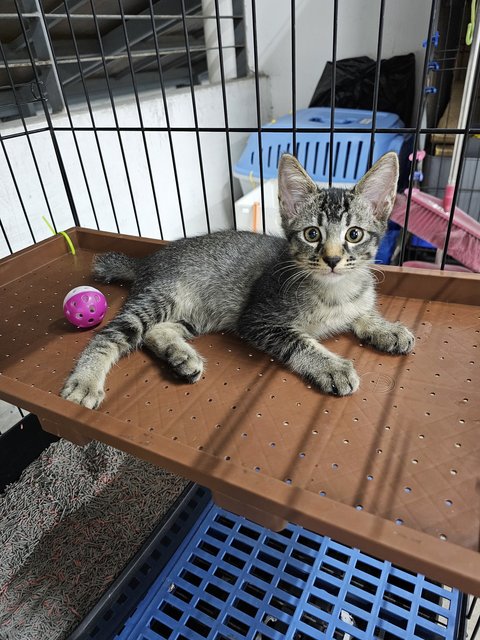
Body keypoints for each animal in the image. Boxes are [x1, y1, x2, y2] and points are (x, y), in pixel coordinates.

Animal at [61, 152, 412, 408]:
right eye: (312, 234)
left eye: (354, 234)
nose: (333, 259)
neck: (335, 290)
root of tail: (150, 258)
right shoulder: (256, 319)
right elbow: (299, 341)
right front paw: (332, 367)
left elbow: (362, 312)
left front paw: (386, 329)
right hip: (162, 297)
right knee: (111, 334)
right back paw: (85, 382)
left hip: (199, 314)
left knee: (153, 332)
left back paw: (181, 357)